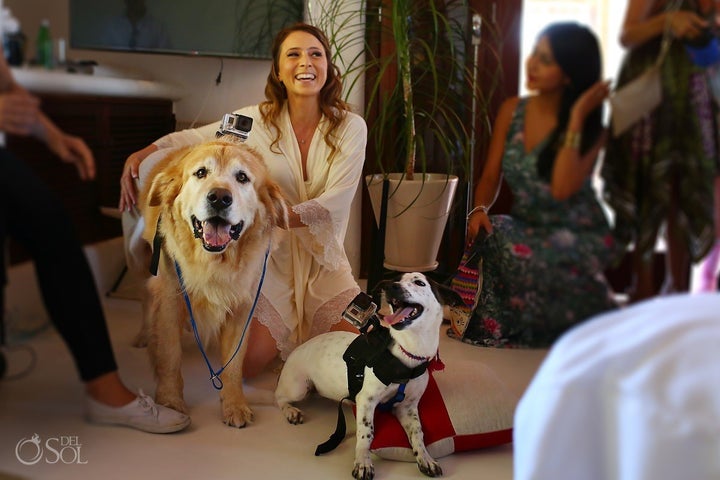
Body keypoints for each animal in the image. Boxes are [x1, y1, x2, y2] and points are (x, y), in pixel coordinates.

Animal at [276, 274, 462, 480]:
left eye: (419, 282)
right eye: (396, 279)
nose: (391, 286)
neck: (408, 353)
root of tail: (294, 351)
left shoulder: (407, 407)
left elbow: (417, 433)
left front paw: (425, 457)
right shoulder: (366, 400)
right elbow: (366, 432)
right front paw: (363, 461)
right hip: (299, 388)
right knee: (278, 397)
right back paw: (291, 411)